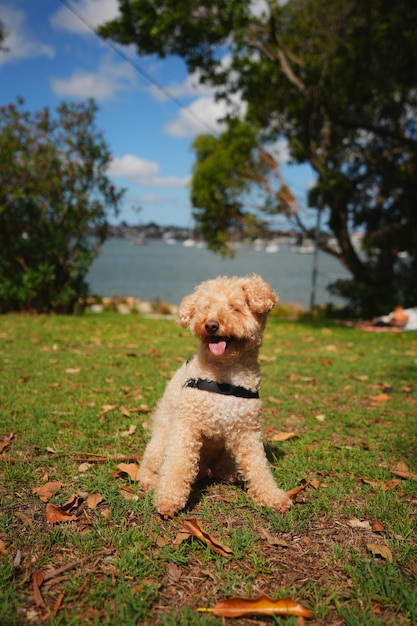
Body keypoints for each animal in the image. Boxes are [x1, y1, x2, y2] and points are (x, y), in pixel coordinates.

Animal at [138, 272, 290, 512]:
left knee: (223, 467)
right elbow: (177, 465)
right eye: (205, 307)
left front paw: (272, 496)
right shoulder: (186, 426)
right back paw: (148, 480)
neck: (224, 378)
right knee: (149, 465)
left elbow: (258, 467)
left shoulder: (248, 431)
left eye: (235, 308)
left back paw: (232, 474)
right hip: (161, 444)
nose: (211, 325)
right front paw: (168, 499)